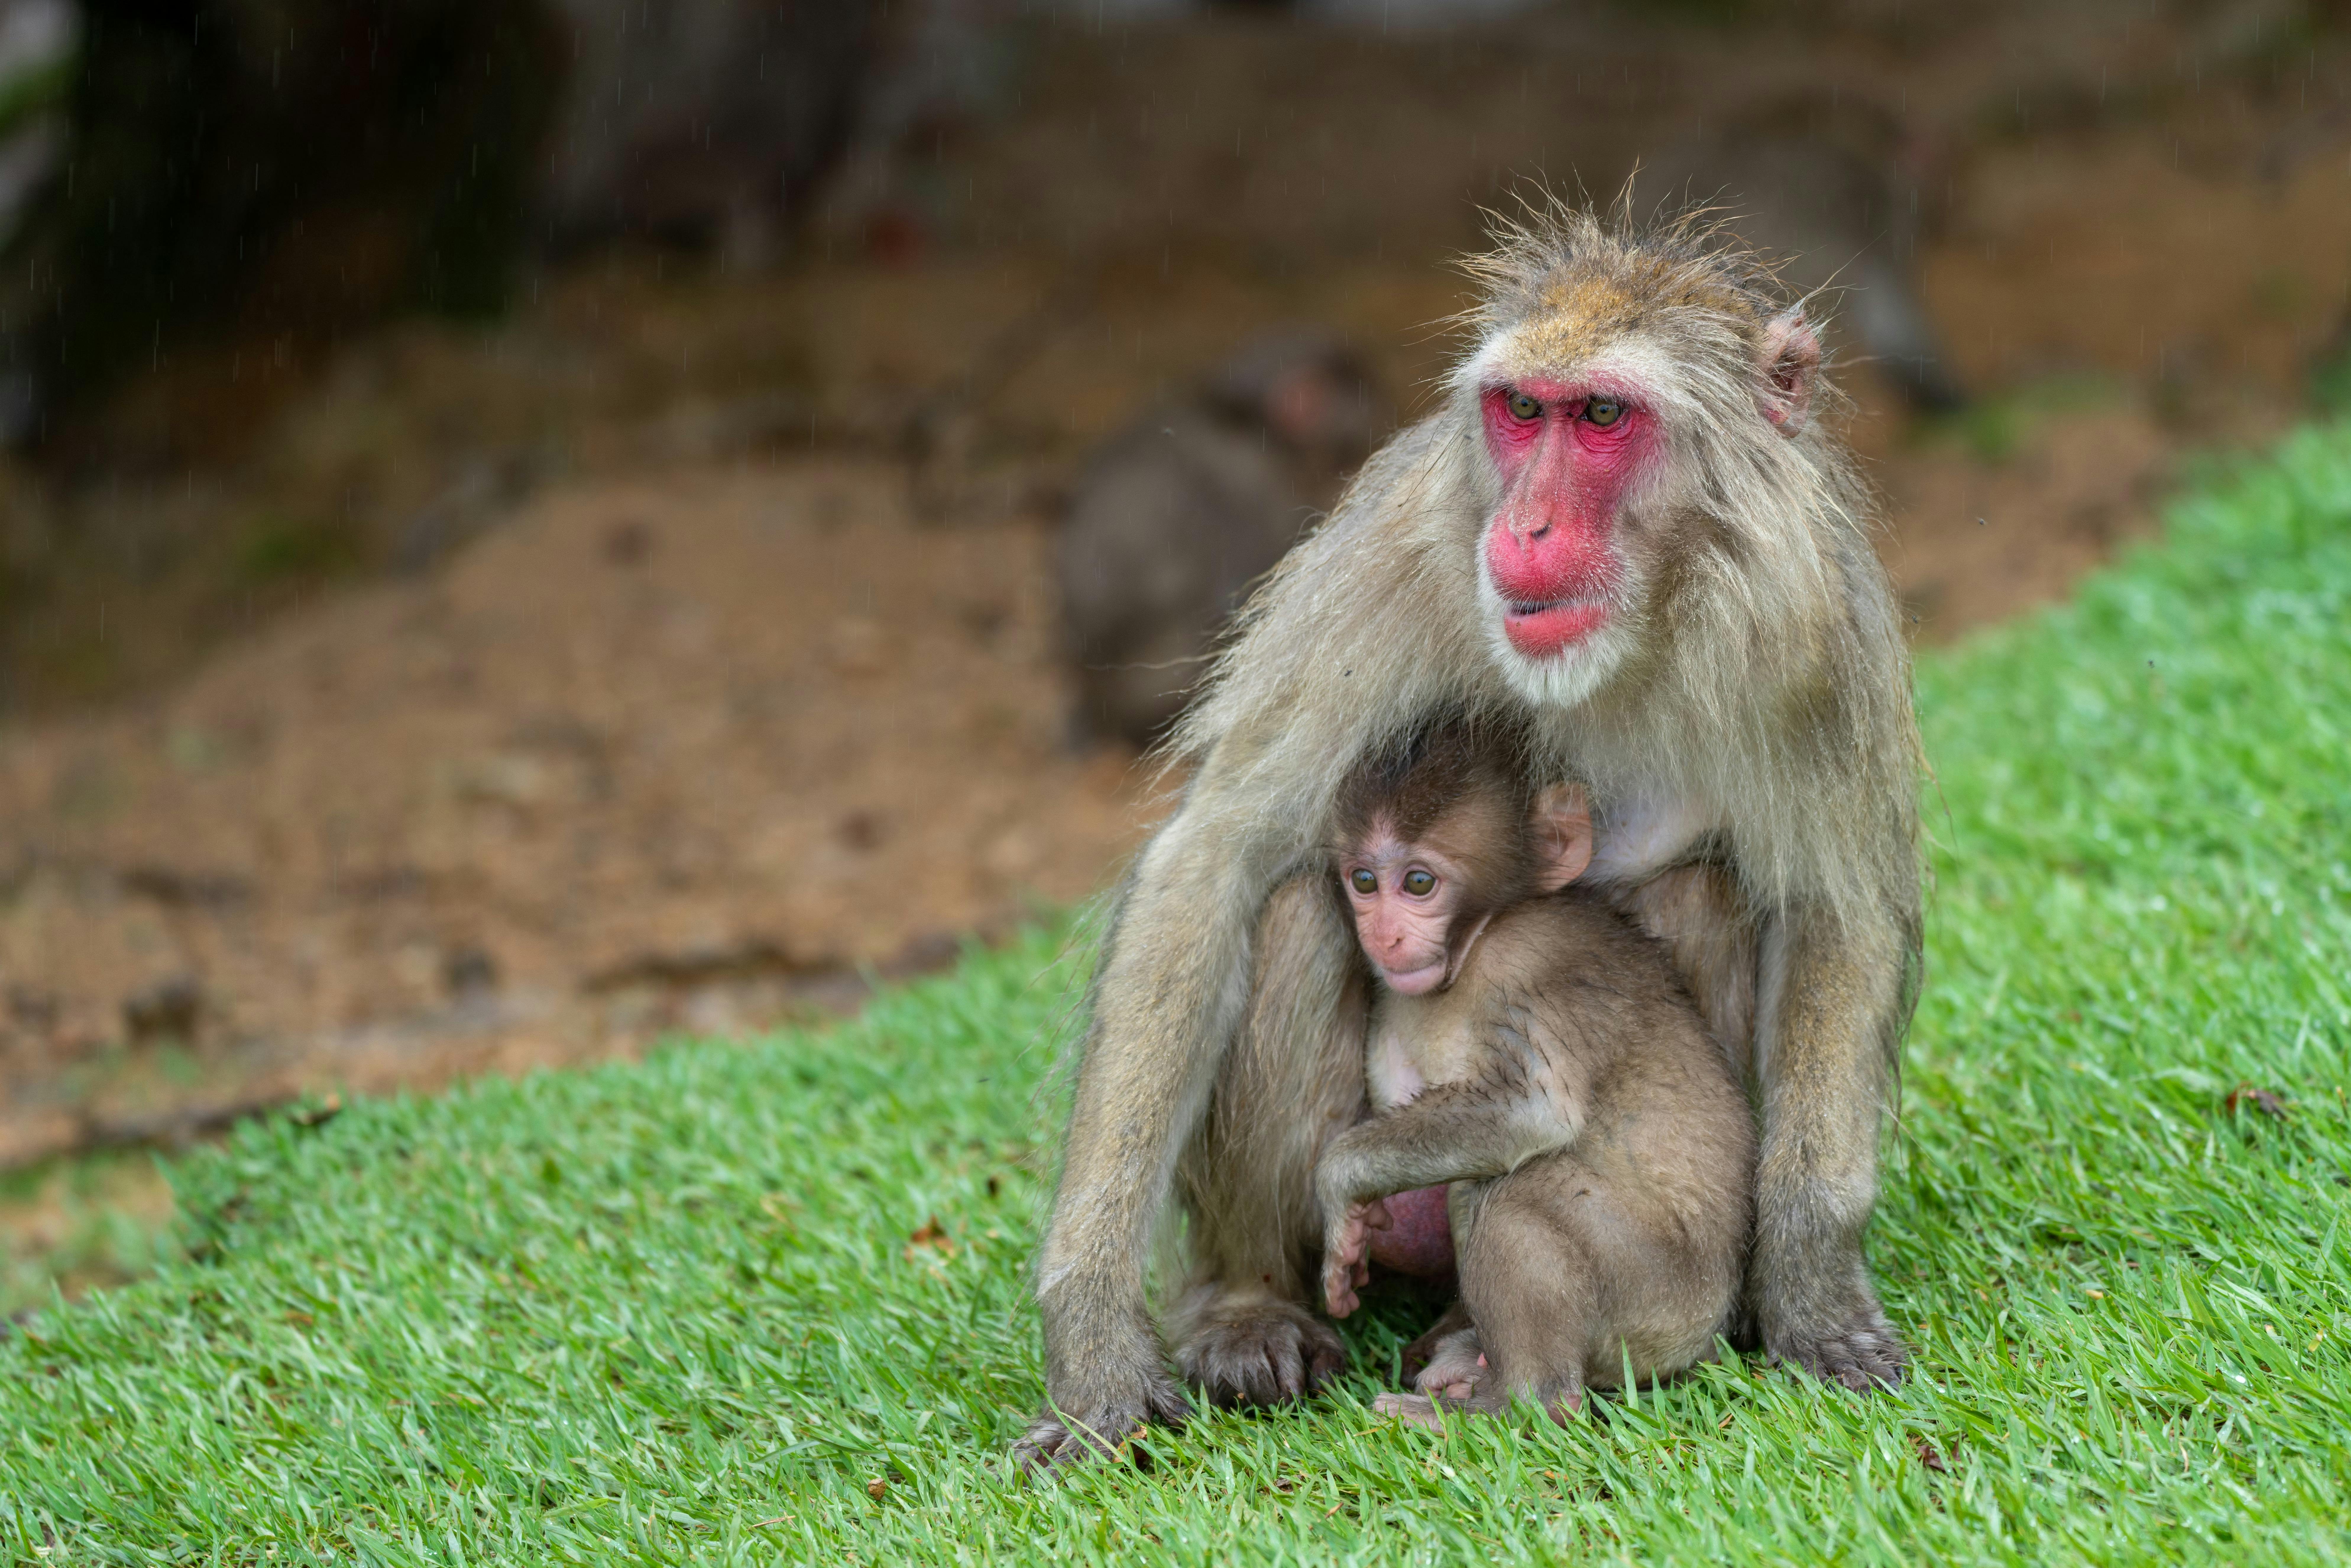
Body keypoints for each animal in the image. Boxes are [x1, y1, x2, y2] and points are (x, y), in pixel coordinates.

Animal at [1310, 720, 1753, 1427]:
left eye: (1417, 883)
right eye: (1363, 880)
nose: (1382, 934)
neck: (1477, 943)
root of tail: (1706, 1334)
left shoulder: (1528, 960)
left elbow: (1529, 1110)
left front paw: (1339, 1185)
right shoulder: (1395, 1003)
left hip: (1658, 1297)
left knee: (1512, 1194)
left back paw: (1518, 1400)